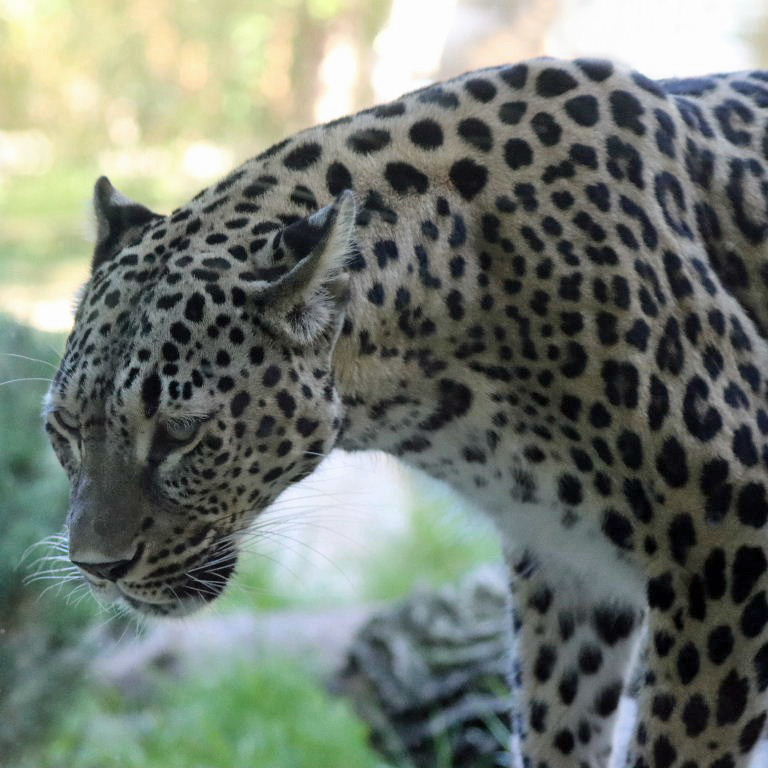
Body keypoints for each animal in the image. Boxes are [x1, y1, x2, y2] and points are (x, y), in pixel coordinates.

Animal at [43, 56, 768, 767]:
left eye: (180, 434)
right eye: (66, 430)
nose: (97, 568)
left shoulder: (730, 540)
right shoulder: (566, 565)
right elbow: (556, 727)